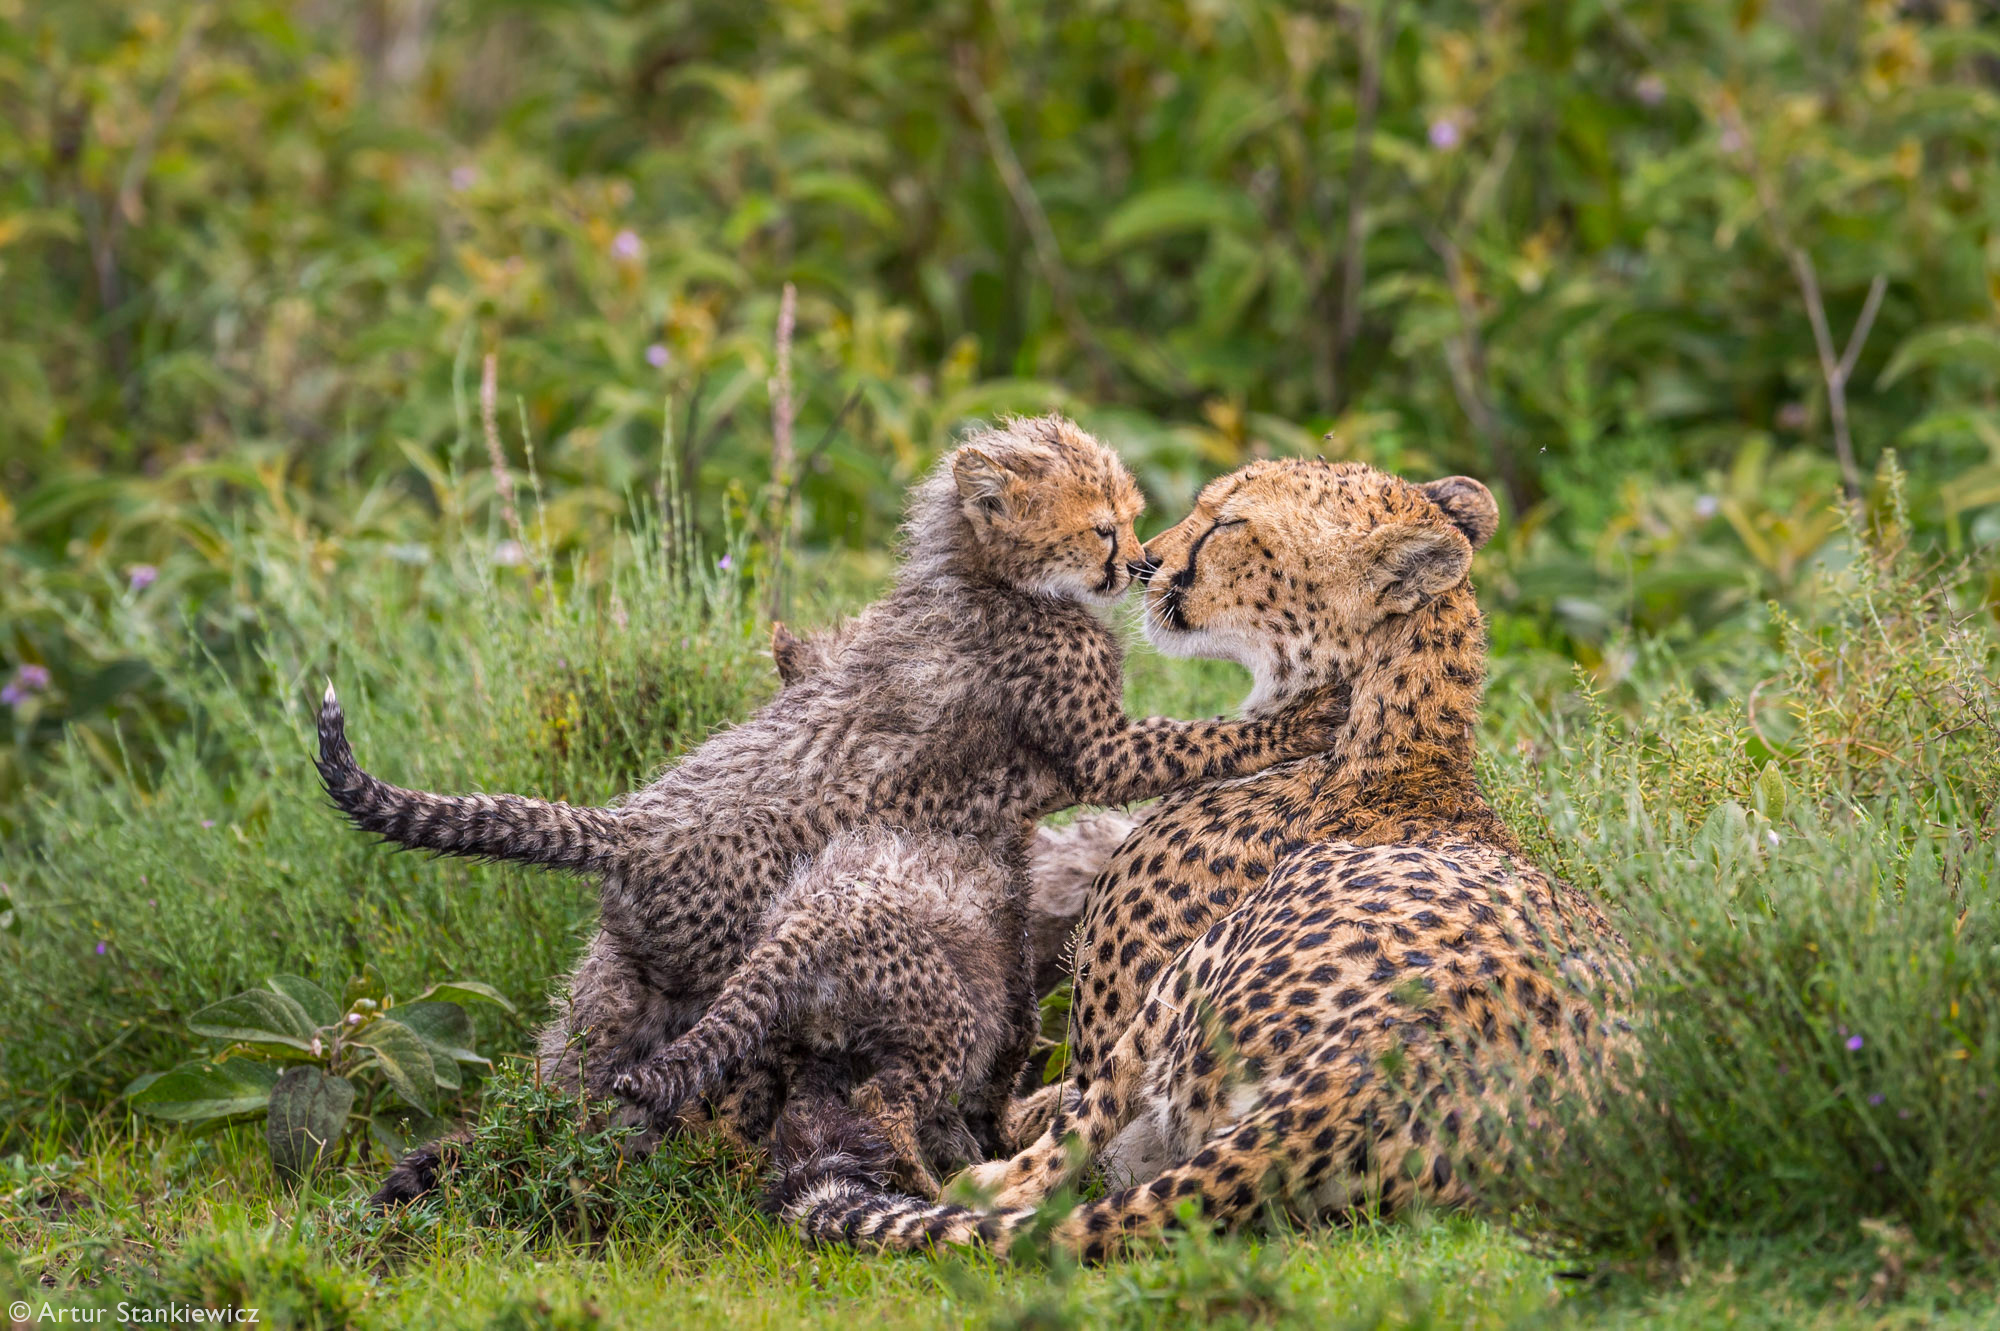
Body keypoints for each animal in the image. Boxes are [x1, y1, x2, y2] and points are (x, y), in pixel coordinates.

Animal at [772, 459, 1632, 1255]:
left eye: (1229, 524)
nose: (1147, 560)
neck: (1391, 734)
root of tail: (1382, 1065)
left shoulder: (1100, 1053)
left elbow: (1043, 1108)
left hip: (1205, 966)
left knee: (1047, 1164)